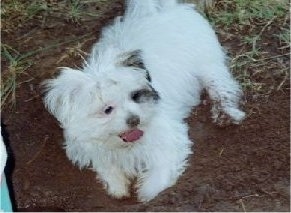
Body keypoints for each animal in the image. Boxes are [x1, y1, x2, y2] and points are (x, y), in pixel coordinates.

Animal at [42, 0, 245, 203]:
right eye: (107, 109)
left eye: (135, 96)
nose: (134, 120)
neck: (125, 145)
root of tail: (160, 10)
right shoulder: (91, 146)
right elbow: (107, 168)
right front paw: (117, 187)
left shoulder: (166, 138)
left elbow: (161, 167)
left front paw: (150, 195)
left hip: (207, 61)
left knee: (219, 84)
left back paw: (226, 113)